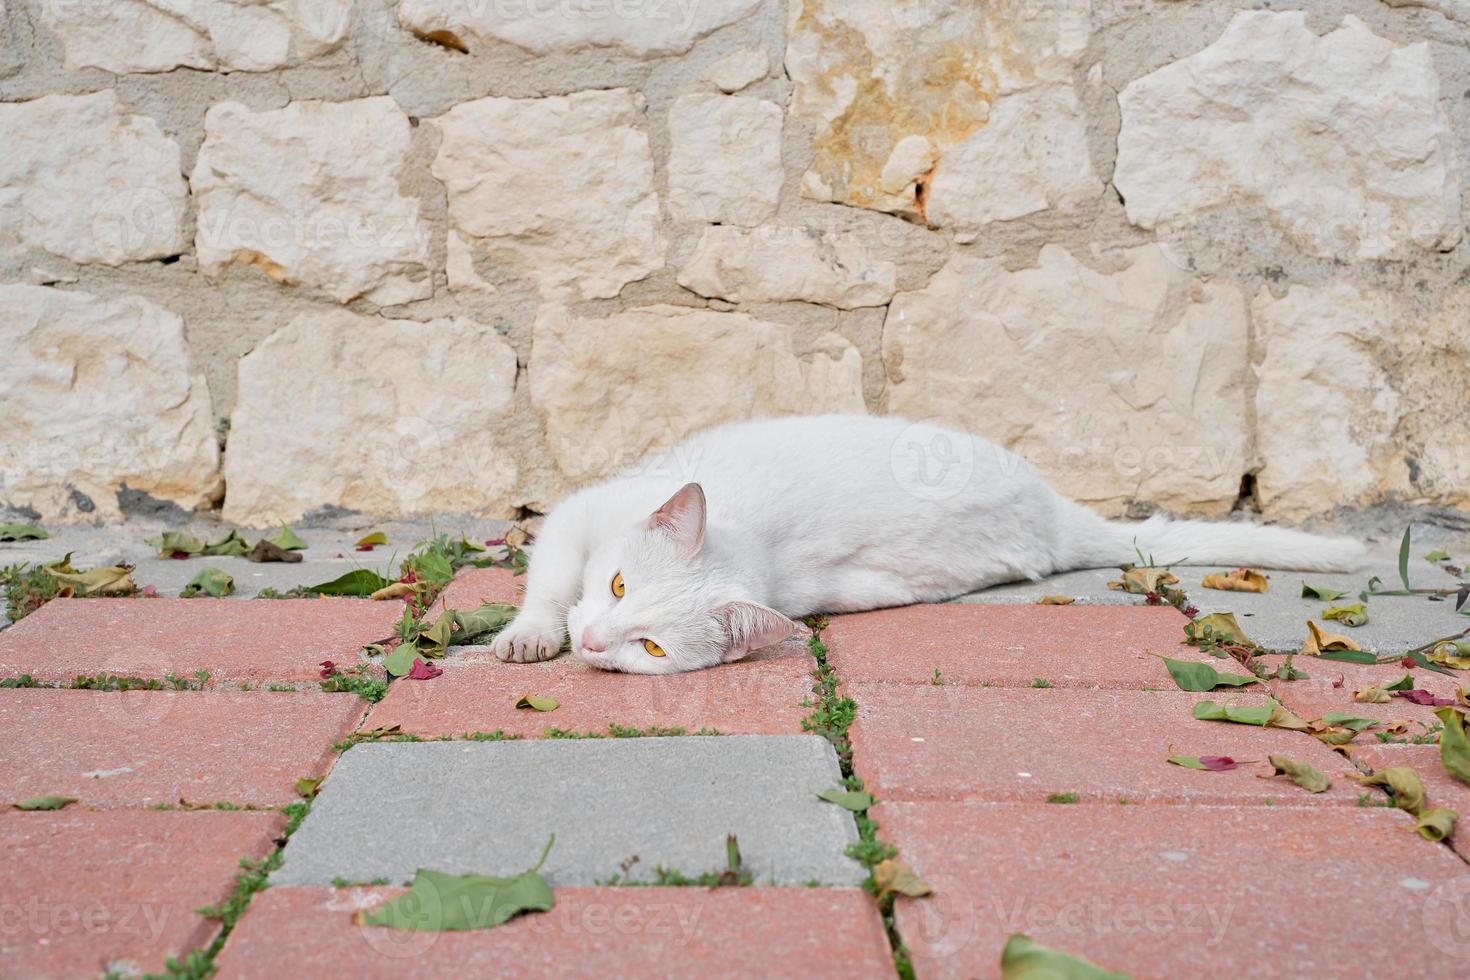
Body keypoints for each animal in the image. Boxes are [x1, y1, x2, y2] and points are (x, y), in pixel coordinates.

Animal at [493, 414, 1364, 675]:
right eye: (617, 586)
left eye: (650, 648)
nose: (594, 640)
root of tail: (1055, 510)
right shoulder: (578, 515)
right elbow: (552, 580)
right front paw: (532, 633)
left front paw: (539, 638)